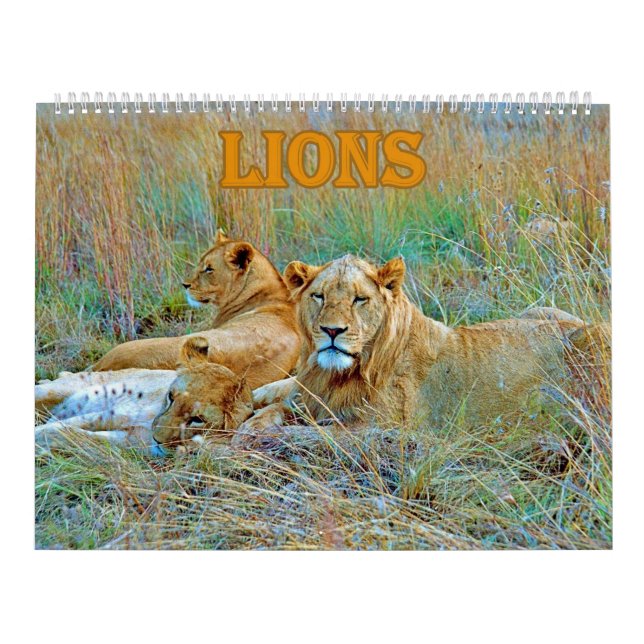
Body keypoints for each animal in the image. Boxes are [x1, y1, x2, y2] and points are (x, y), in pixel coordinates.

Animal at [36, 337, 254, 455]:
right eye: (171, 397)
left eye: (198, 419)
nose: (156, 439)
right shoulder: (111, 413)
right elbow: (64, 425)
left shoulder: (128, 439)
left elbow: (74, 435)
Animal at [234, 254, 609, 445]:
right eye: (319, 296)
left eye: (359, 299)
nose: (332, 331)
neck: (340, 373)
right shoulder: (311, 392)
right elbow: (281, 401)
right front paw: (251, 414)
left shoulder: (386, 428)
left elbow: (307, 431)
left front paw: (250, 434)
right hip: (540, 311)